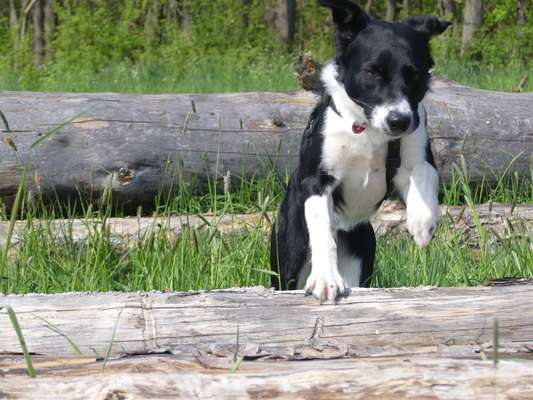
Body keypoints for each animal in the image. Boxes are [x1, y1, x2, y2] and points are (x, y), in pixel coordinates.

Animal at [270, 0, 448, 302]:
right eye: (373, 72)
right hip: (288, 257)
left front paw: (422, 222)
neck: (368, 129)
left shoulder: (416, 153)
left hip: (363, 251)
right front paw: (326, 279)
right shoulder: (317, 181)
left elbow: (424, 174)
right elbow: (322, 230)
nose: (399, 121)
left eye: (414, 74)